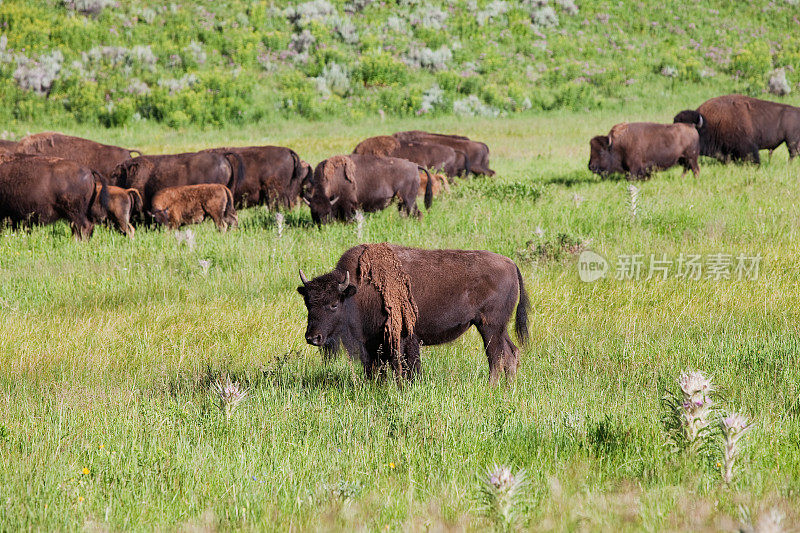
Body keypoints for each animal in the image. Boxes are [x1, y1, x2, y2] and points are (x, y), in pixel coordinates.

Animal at [296, 241, 532, 382]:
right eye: (308, 303)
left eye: (334, 304)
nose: (313, 338)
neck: (357, 290)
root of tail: (511, 263)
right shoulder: (372, 343)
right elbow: (375, 368)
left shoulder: (400, 339)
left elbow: (405, 366)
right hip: (499, 328)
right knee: (511, 353)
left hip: (489, 327)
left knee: (495, 357)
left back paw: (491, 387)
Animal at [304, 153, 432, 223]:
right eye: (313, 213)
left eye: (327, 212)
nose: (322, 226)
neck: (334, 179)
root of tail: (415, 166)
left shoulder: (347, 205)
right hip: (404, 202)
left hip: (407, 200)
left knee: (414, 213)